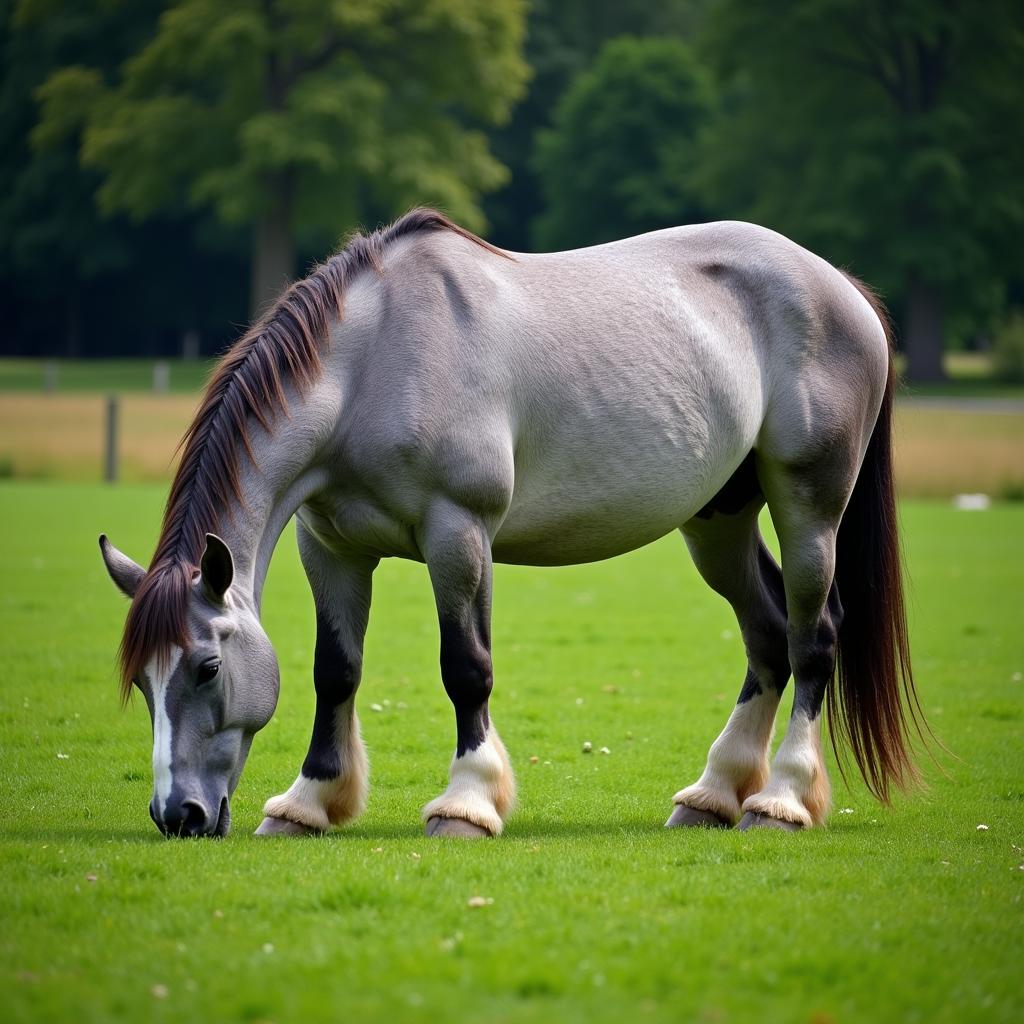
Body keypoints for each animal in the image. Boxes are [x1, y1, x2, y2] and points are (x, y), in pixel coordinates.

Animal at [99, 207, 925, 839]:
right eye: (142, 678)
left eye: (207, 668)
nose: (178, 815)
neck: (373, 360)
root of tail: (840, 287)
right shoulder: (330, 547)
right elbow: (334, 671)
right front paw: (307, 804)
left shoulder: (458, 533)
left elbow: (466, 668)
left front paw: (466, 803)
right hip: (717, 522)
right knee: (767, 638)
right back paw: (714, 794)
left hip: (809, 507)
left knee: (813, 640)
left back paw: (780, 799)